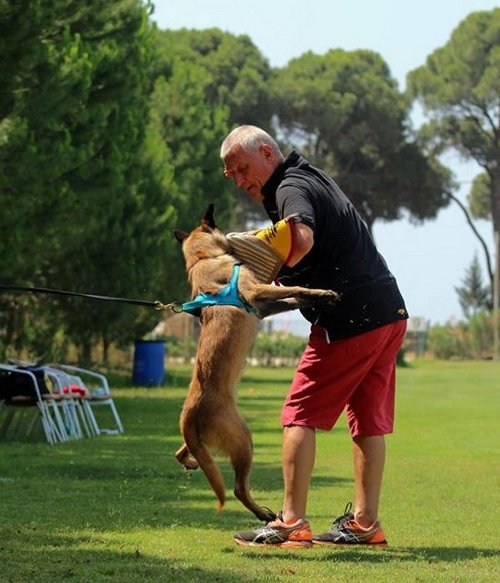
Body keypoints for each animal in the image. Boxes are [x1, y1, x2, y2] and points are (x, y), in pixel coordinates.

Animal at [174, 204, 338, 520]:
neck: (202, 259)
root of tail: (189, 414)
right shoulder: (255, 291)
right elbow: (292, 290)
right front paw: (321, 293)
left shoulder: (262, 306)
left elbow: (290, 299)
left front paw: (314, 299)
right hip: (243, 439)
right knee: (238, 488)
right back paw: (263, 514)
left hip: (205, 441)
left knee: (180, 452)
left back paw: (190, 462)